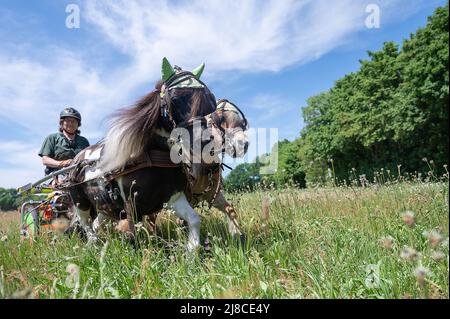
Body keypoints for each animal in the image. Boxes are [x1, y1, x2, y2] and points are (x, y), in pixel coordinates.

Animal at [67, 58, 250, 251]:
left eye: (211, 101)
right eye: (176, 98)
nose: (205, 141)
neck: (152, 156)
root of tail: (77, 160)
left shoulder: (175, 196)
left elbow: (195, 219)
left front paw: (191, 251)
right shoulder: (131, 206)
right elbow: (134, 237)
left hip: (105, 207)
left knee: (96, 223)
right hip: (81, 203)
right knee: (86, 225)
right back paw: (92, 245)